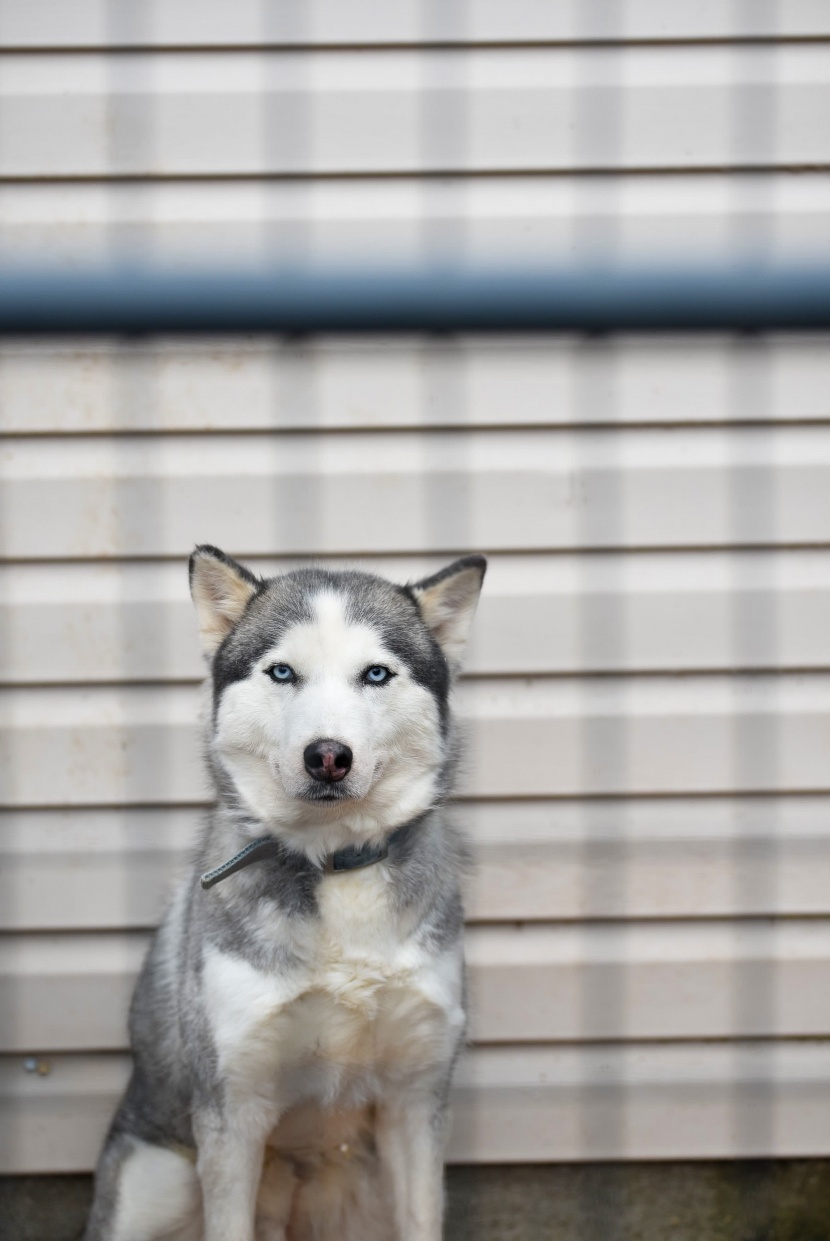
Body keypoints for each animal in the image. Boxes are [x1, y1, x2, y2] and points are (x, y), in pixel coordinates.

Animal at [84, 548, 486, 1241]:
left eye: (375, 673)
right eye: (282, 672)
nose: (328, 756)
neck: (336, 867)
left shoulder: (416, 1099)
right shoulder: (232, 1111)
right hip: (154, 1182)